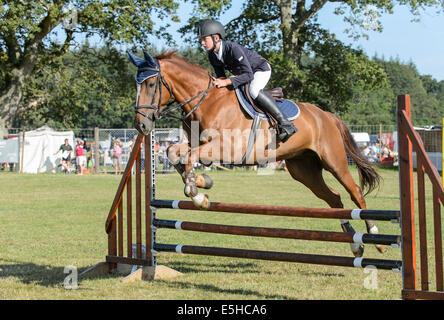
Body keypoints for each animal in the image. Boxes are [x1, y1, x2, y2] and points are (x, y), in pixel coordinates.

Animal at [128, 52, 386, 258]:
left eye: (150, 84)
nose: (141, 125)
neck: (207, 101)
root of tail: (326, 115)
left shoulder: (226, 147)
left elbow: (190, 157)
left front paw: (196, 192)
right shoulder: (198, 144)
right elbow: (174, 152)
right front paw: (201, 184)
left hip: (334, 161)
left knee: (355, 193)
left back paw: (376, 238)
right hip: (304, 169)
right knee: (334, 199)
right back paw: (355, 244)